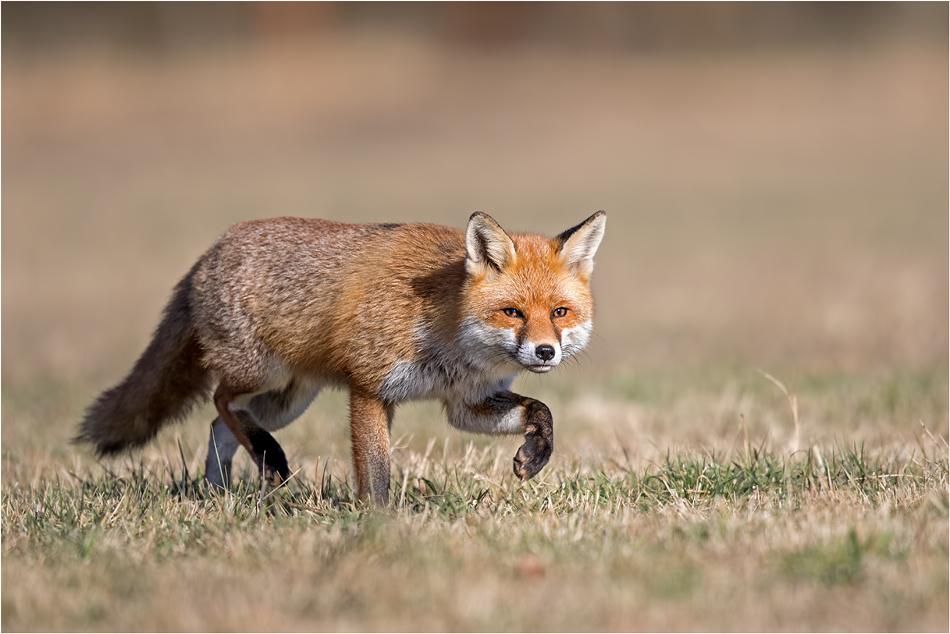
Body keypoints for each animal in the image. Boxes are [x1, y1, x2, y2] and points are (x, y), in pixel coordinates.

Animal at [78, 211, 608, 504]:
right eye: (512, 312)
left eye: (559, 313)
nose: (545, 351)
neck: (448, 333)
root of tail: (211, 250)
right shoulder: (371, 388)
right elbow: (375, 473)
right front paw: (380, 523)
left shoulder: (466, 402)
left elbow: (542, 412)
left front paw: (535, 455)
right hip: (261, 373)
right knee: (220, 401)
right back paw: (262, 460)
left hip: (289, 399)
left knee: (219, 426)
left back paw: (219, 492)